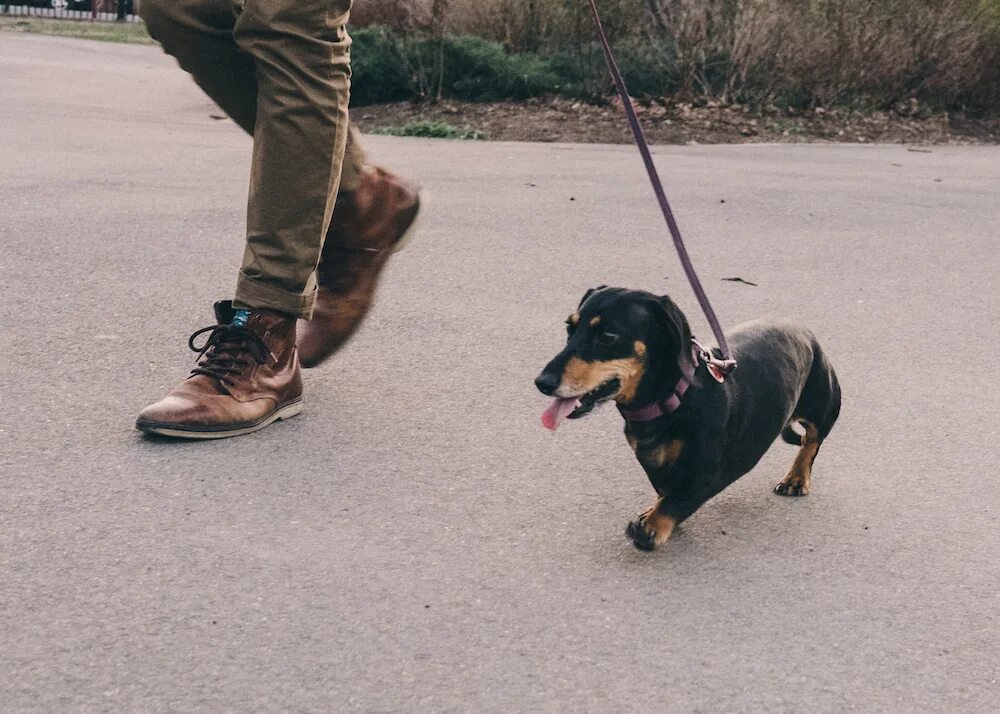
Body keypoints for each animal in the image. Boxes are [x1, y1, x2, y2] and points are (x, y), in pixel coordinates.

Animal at [536, 286, 840, 552]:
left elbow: (677, 499)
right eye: (570, 328)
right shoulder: (651, 461)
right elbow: (666, 490)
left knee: (811, 442)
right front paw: (653, 512)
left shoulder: (708, 473)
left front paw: (651, 527)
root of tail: (801, 330)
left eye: (608, 336)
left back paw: (796, 478)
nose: (542, 382)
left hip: (823, 407)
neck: (675, 398)